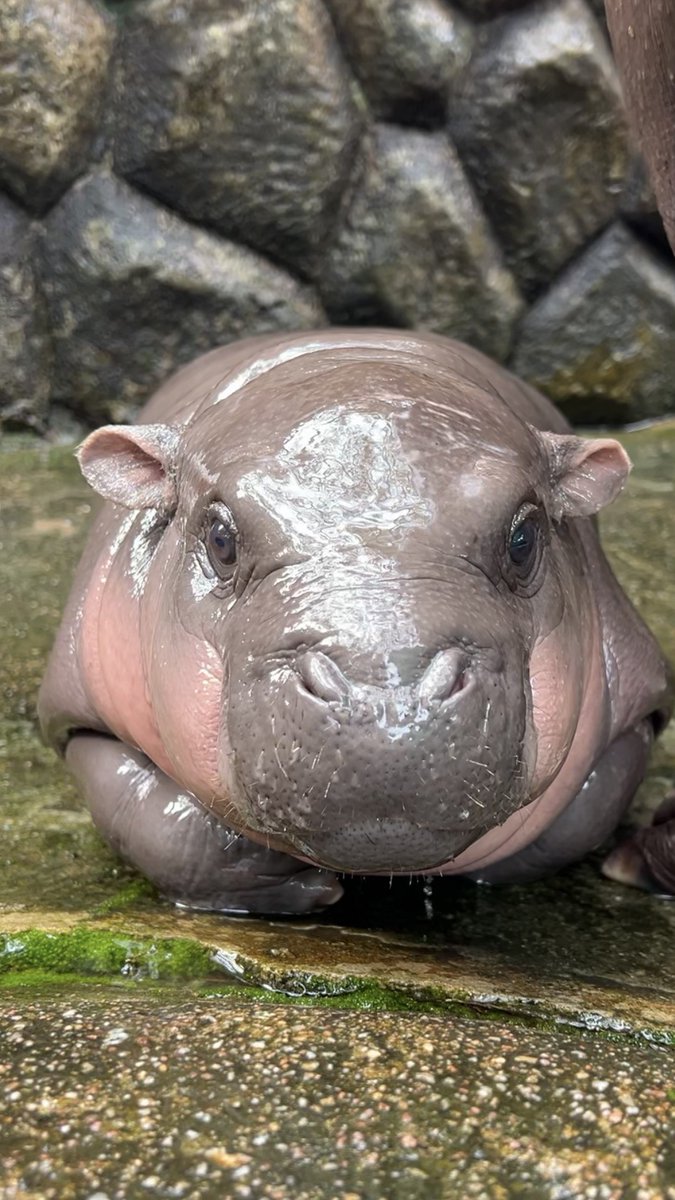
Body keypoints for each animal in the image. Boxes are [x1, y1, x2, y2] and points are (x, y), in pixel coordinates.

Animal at [38, 329, 674, 912]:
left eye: (524, 539)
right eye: (219, 537)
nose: (386, 707)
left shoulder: (636, 710)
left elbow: (578, 819)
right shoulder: (75, 714)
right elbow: (155, 824)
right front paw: (291, 879)